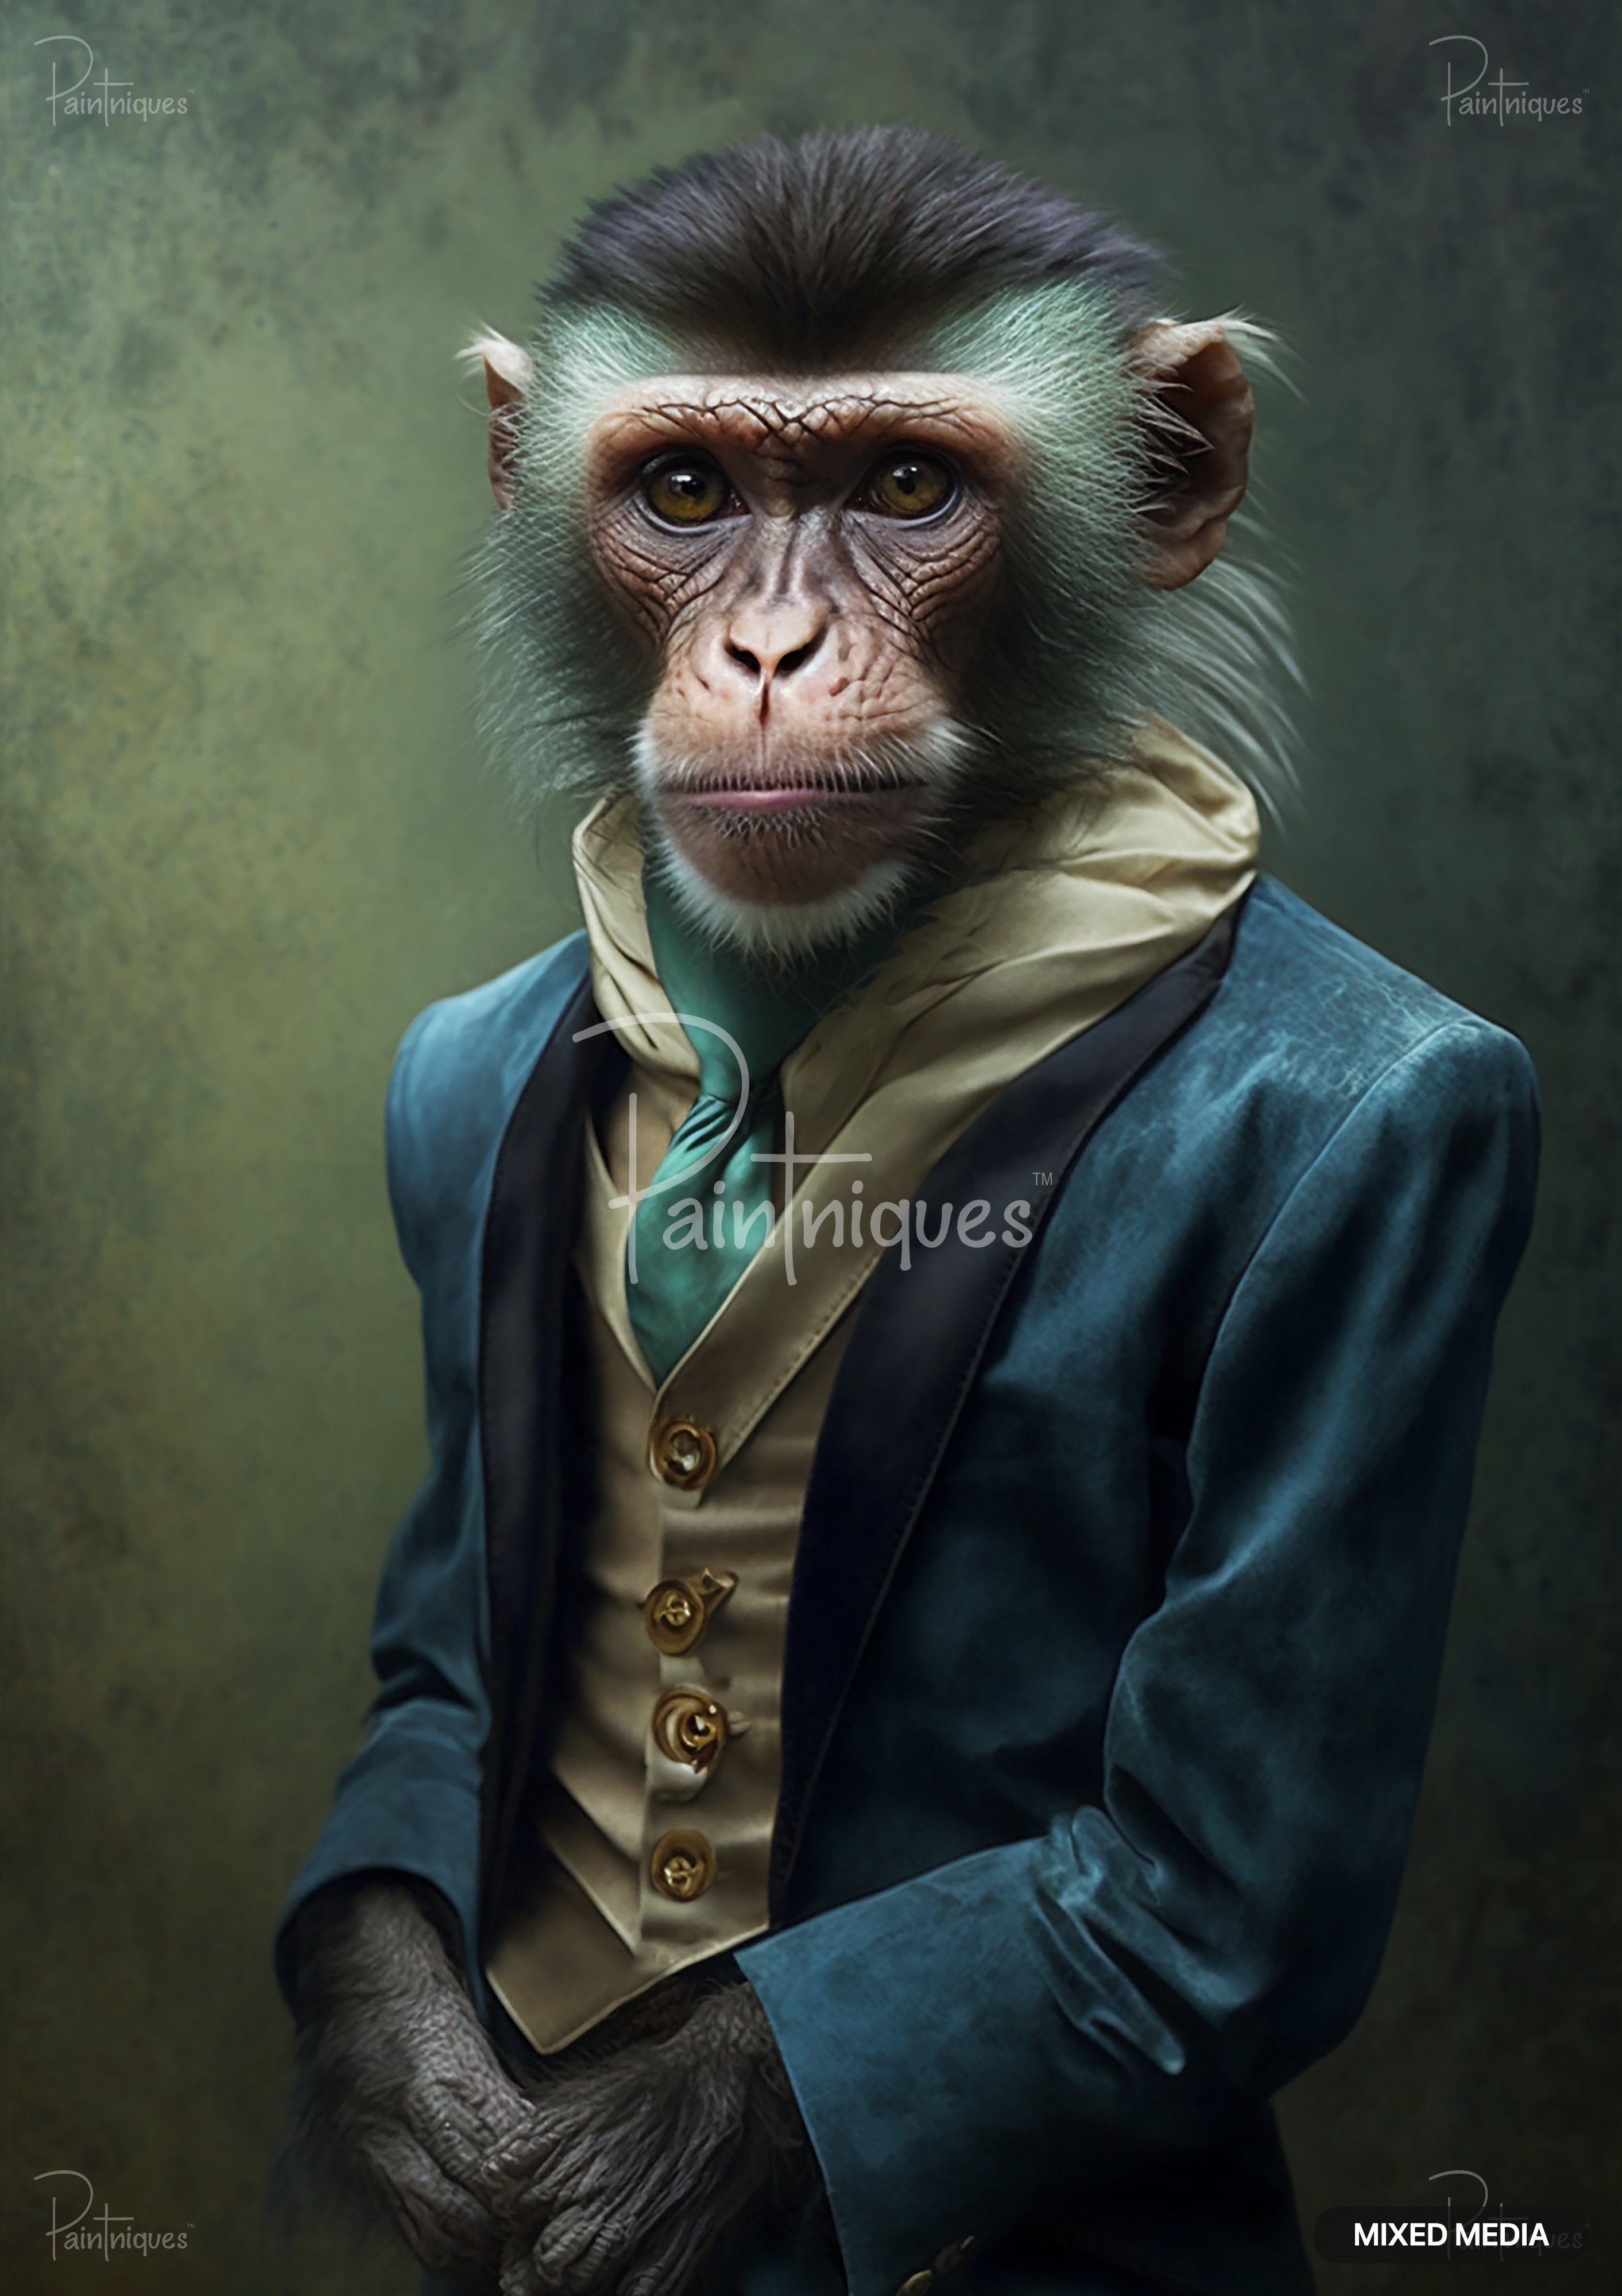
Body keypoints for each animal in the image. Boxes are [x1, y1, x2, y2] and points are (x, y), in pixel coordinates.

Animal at [278, 129, 1537, 2296]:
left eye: (900, 488)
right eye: (687, 494)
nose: (769, 657)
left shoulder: (1411, 1174)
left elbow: (1205, 1870)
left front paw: (635, 2164)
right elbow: (438, 1674)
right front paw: (435, 2103)